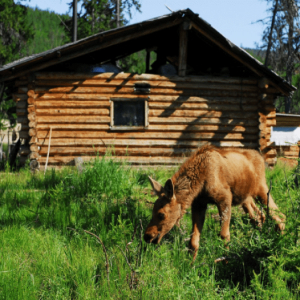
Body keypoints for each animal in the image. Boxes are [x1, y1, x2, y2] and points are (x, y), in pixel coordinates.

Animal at [144, 145, 284, 260]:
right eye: (152, 211)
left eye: (161, 214)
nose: (147, 236)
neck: (199, 184)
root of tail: (261, 158)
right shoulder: (199, 204)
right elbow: (193, 240)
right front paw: (190, 265)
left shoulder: (224, 197)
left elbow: (224, 235)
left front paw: (225, 260)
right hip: (246, 199)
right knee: (259, 217)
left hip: (261, 189)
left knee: (279, 216)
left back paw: (280, 244)